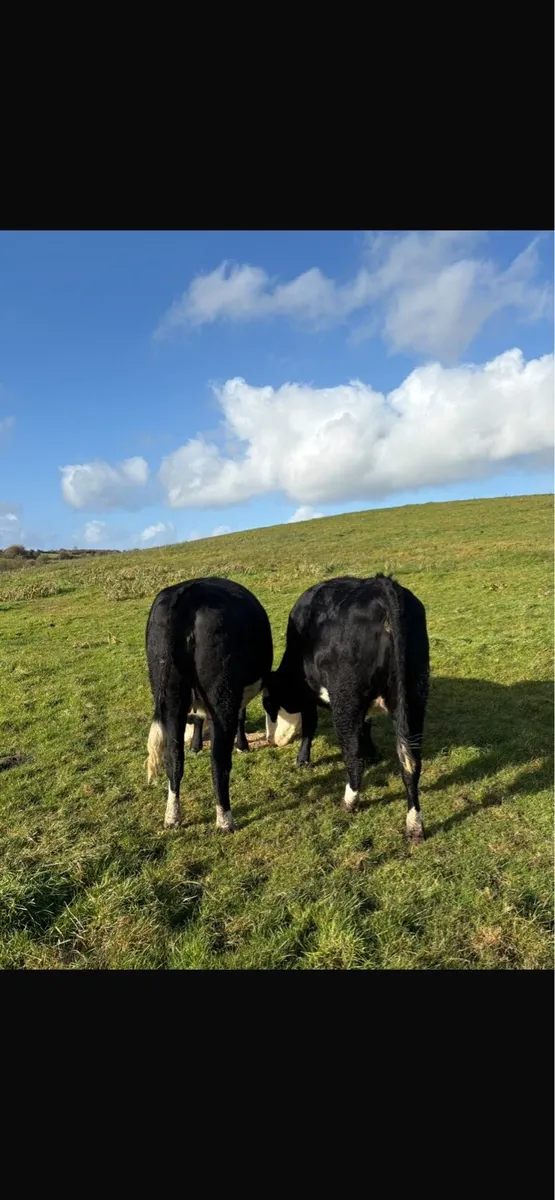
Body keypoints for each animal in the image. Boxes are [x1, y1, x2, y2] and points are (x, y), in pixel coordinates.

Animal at [145, 577, 273, 832]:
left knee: (173, 757)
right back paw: (225, 820)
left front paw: (195, 745)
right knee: (219, 760)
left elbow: (196, 719)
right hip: (222, 694)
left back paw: (172, 818)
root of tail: (188, 592)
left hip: (169, 697)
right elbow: (240, 717)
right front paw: (242, 745)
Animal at [262, 574, 429, 841]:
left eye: (268, 702)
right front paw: (373, 755)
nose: (270, 739)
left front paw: (302, 759)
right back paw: (414, 826)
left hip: (346, 699)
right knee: (410, 761)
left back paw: (350, 801)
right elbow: (366, 727)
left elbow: (311, 725)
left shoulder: (310, 695)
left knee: (352, 754)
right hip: (413, 697)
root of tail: (381, 585)